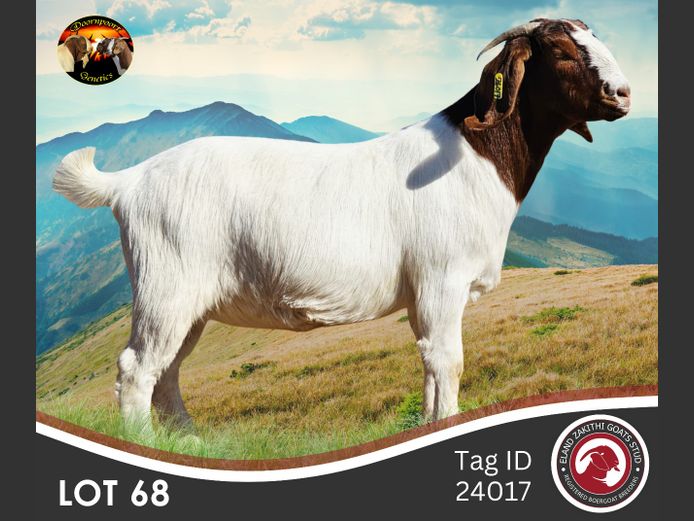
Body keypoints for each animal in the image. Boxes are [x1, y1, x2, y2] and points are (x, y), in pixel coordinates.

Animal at [53, 18, 630, 433]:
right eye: (561, 52)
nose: (623, 93)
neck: (476, 156)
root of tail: (128, 182)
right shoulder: (441, 280)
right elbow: (448, 361)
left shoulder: (423, 294)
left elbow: (428, 362)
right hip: (164, 286)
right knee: (137, 368)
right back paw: (147, 442)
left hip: (188, 301)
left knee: (167, 369)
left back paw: (188, 439)